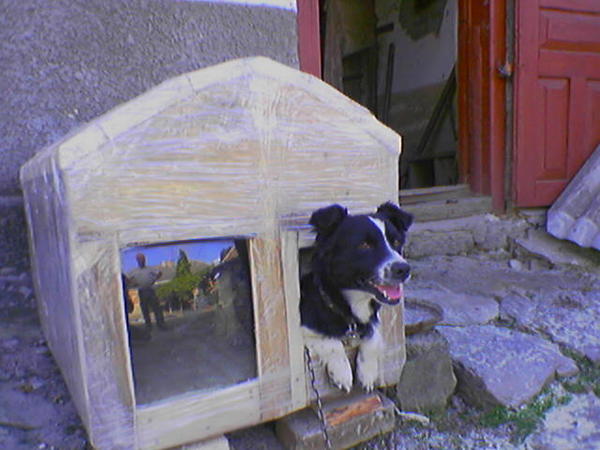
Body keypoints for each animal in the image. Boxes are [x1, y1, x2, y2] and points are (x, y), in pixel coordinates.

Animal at [300, 202, 412, 392]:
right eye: (364, 245)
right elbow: (328, 339)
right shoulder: (302, 325)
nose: (403, 269)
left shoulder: (370, 321)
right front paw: (342, 372)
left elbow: (373, 335)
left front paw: (367, 372)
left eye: (396, 241)